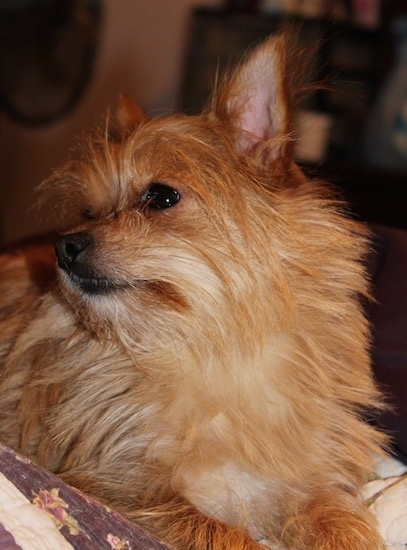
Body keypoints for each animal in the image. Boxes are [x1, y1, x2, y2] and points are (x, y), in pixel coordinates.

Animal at [0, 36, 388, 548]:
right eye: (89, 212)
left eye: (161, 196)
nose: (64, 246)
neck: (210, 354)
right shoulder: (120, 485)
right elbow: (226, 534)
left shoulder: (310, 480)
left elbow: (338, 517)